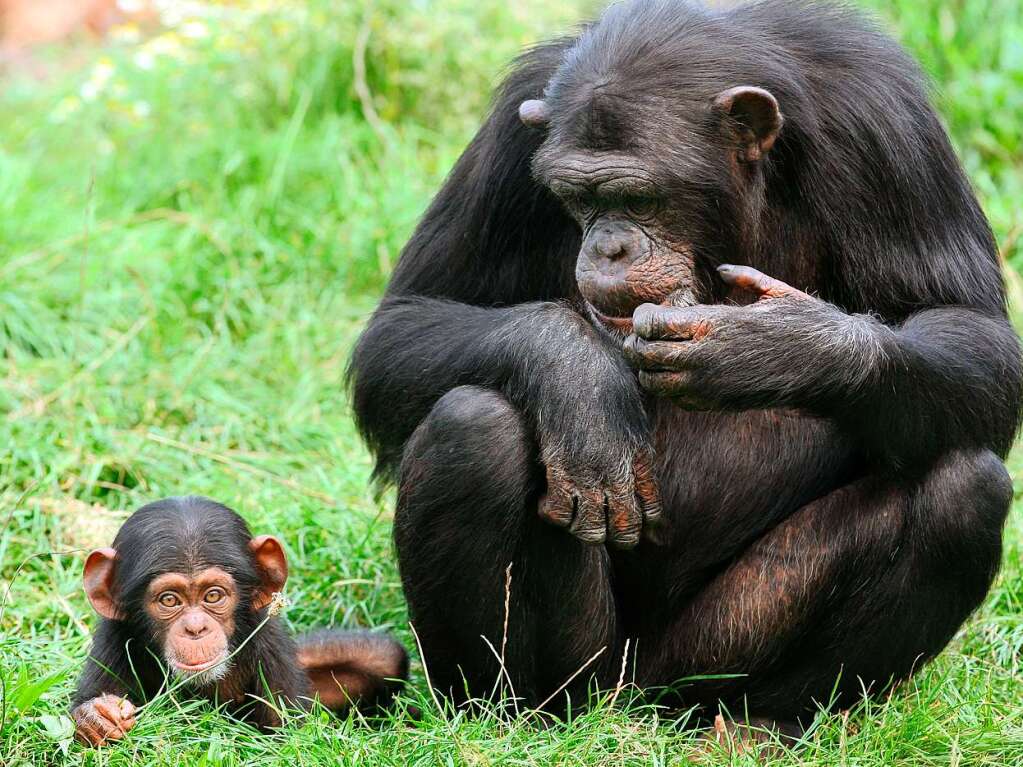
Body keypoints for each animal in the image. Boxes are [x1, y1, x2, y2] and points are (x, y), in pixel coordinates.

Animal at [71, 494, 407, 748]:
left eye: (213, 595)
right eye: (169, 600)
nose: (196, 628)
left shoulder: (268, 645)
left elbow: (291, 743)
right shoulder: (113, 640)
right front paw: (97, 717)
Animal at [349, 0, 1014, 732]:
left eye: (640, 199)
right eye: (579, 198)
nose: (608, 247)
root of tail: (638, 700)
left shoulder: (889, 128)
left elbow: (973, 330)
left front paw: (772, 347)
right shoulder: (507, 140)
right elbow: (404, 323)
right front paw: (580, 383)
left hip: (706, 655)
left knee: (964, 489)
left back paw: (765, 724)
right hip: (591, 666)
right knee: (470, 428)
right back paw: (505, 715)